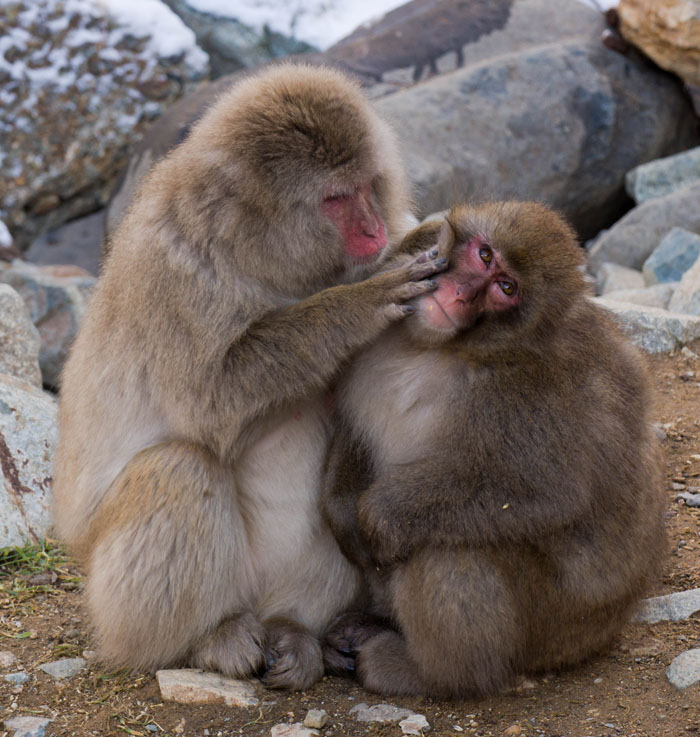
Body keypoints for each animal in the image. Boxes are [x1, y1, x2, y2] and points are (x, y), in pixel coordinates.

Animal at [53, 64, 442, 688]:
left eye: (368, 185)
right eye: (336, 200)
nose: (375, 230)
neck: (263, 256)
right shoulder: (173, 271)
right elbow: (211, 405)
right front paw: (357, 303)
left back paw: (297, 633)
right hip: (118, 603)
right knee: (179, 467)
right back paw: (206, 639)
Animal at [320, 200, 664, 696]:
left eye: (506, 288)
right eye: (484, 255)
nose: (462, 293)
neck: (440, 348)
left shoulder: (523, 392)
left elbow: (545, 492)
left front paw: (378, 516)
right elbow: (352, 429)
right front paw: (345, 513)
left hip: (548, 628)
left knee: (451, 549)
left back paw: (428, 672)